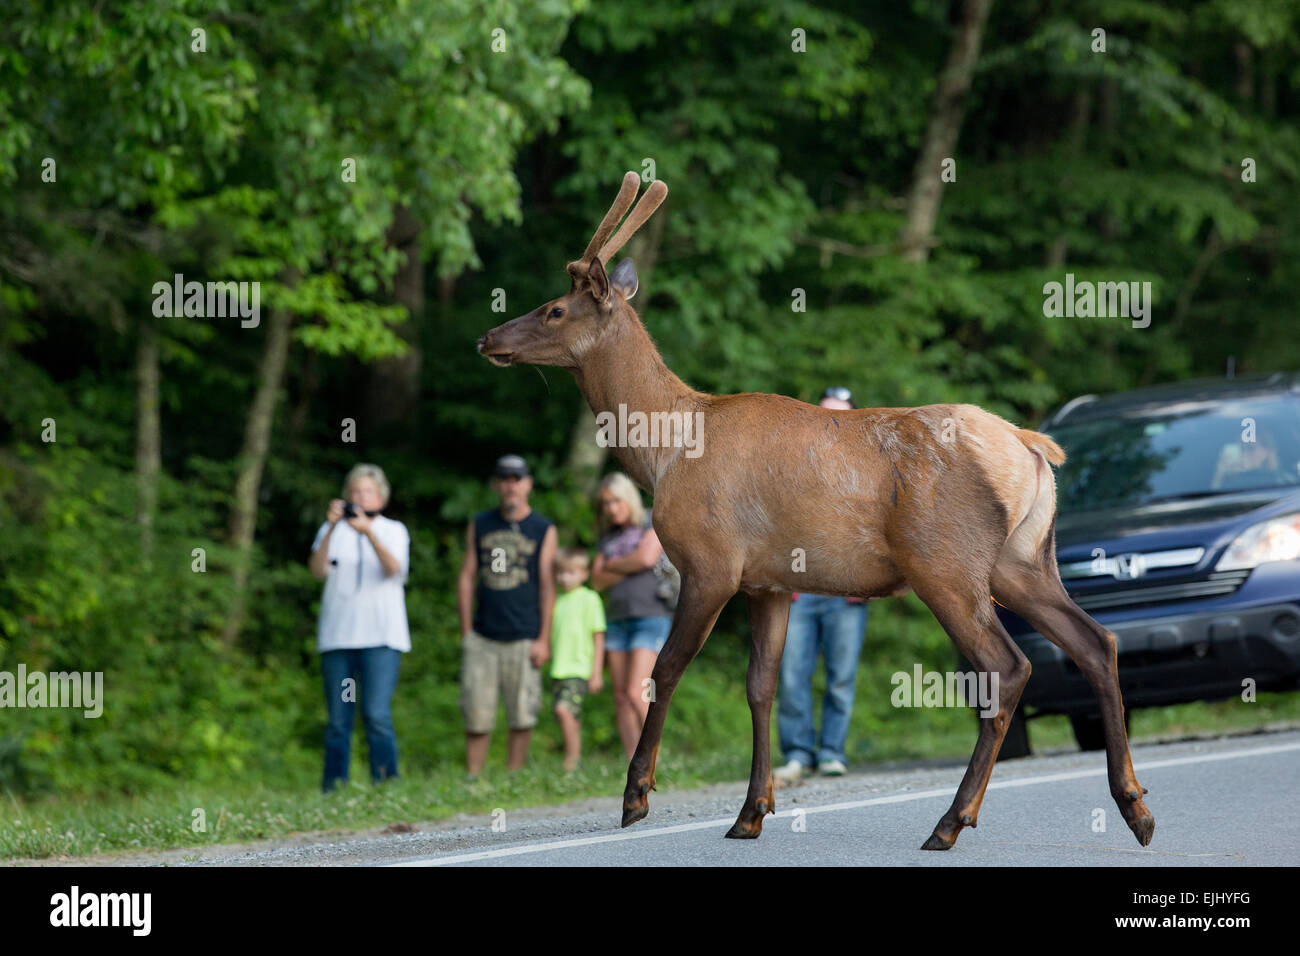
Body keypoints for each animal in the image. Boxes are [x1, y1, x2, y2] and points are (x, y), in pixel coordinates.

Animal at [478, 171, 1159, 853]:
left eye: (554, 309)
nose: (487, 338)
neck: (664, 450)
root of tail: (1032, 448)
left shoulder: (710, 562)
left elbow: (665, 669)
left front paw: (636, 796)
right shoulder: (771, 582)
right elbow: (762, 687)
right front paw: (752, 811)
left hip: (945, 563)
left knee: (1008, 668)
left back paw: (951, 821)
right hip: (1022, 562)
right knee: (1097, 640)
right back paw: (1135, 807)